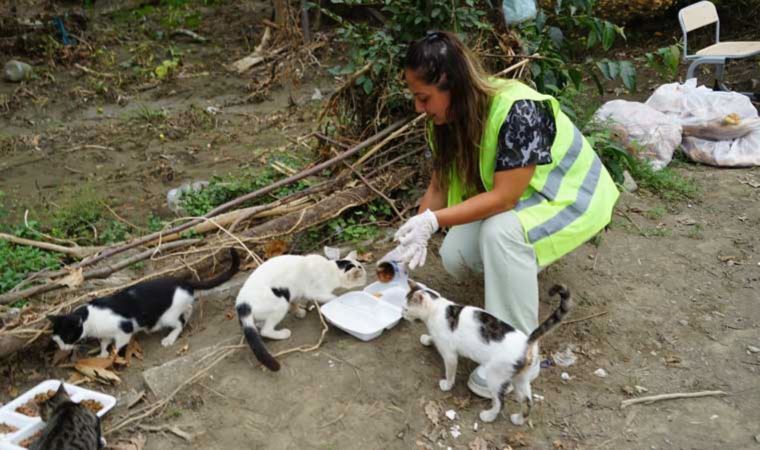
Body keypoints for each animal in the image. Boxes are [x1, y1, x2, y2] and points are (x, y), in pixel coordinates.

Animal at [49, 248, 239, 356]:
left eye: (67, 337)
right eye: (56, 341)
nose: (62, 349)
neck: (89, 318)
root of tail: (184, 282)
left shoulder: (124, 329)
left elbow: (118, 346)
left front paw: (113, 358)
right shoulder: (105, 334)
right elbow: (104, 343)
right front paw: (102, 355)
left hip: (167, 316)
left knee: (179, 323)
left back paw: (169, 338)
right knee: (189, 308)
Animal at [238, 248, 368, 370]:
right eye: (364, 276)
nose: (366, 279)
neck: (332, 269)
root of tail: (242, 304)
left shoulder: (296, 291)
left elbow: (295, 302)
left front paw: (299, 311)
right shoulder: (316, 292)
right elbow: (332, 297)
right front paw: (336, 303)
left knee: (259, 324)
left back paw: (260, 324)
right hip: (281, 303)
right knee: (265, 331)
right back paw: (282, 333)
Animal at [404, 280, 568, 424]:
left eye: (406, 308)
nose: (403, 314)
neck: (438, 308)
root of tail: (527, 341)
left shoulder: (450, 355)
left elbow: (450, 372)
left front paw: (447, 384)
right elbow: (433, 337)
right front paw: (427, 339)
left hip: (495, 377)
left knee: (501, 403)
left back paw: (488, 416)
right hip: (520, 379)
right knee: (528, 402)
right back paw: (518, 420)